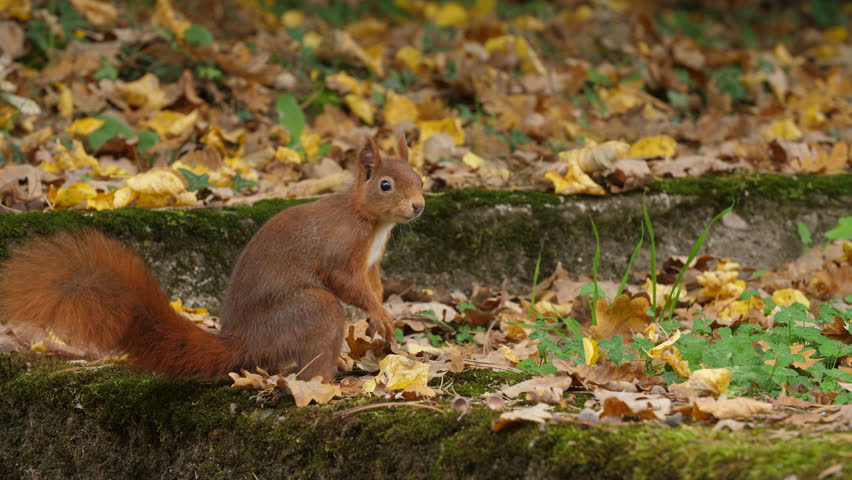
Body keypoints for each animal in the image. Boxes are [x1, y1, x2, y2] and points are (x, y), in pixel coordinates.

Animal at [0, 135, 424, 381]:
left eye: (419, 178)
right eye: (385, 185)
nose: (419, 206)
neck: (370, 221)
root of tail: (243, 341)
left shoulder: (372, 261)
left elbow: (373, 285)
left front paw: (382, 314)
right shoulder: (340, 252)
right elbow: (346, 283)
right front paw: (381, 314)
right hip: (310, 310)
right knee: (311, 361)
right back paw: (326, 385)